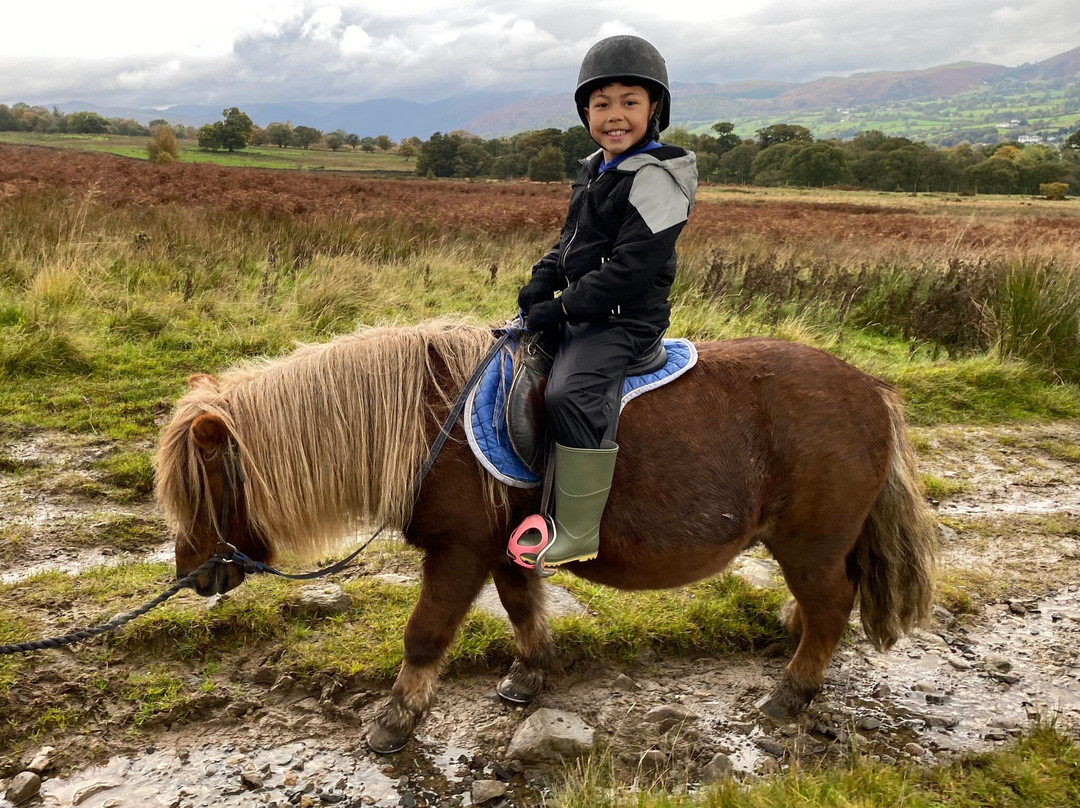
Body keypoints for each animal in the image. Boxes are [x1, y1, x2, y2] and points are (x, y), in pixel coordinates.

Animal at [156, 319, 941, 756]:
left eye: (201, 492)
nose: (196, 575)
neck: (430, 424)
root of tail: (872, 390)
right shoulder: (506, 546)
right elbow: (521, 607)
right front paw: (529, 676)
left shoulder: (459, 551)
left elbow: (426, 634)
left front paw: (396, 722)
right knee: (822, 609)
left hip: (810, 543)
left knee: (830, 607)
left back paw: (789, 694)